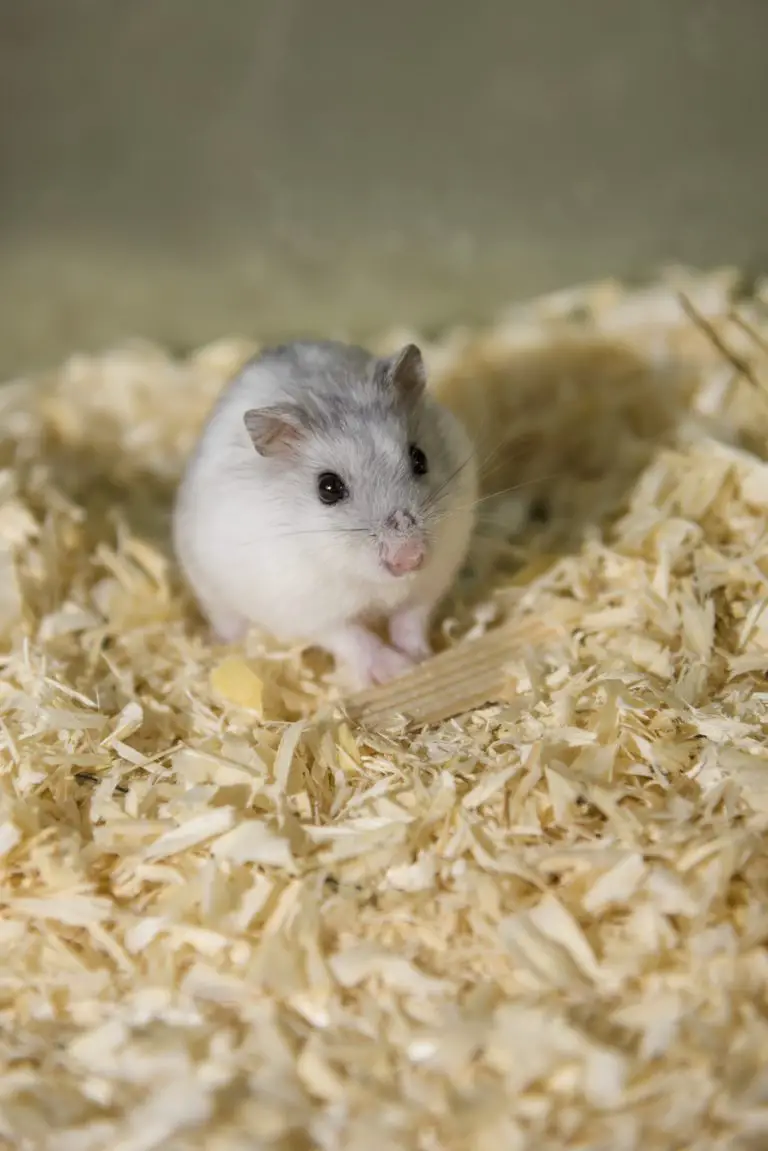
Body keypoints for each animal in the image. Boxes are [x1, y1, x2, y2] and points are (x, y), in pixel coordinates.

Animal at [172, 339, 478, 689]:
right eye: (328, 488)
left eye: (419, 458)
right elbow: (353, 638)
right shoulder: (308, 610)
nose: (410, 559)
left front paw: (419, 656)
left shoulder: (432, 578)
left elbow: (411, 617)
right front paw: (397, 668)